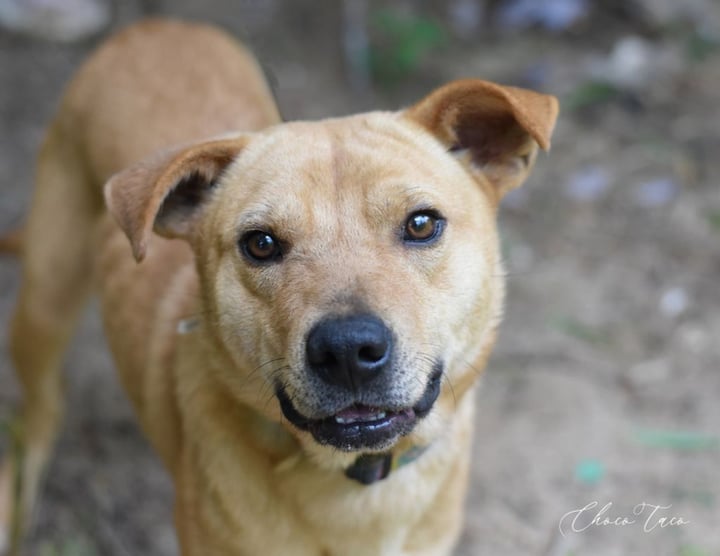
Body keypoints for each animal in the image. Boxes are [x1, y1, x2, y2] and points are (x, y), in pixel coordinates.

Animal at [0, 17, 556, 556]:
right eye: (261, 243)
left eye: (421, 224)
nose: (347, 351)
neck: (354, 492)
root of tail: (150, 26)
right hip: (45, 303)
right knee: (36, 425)